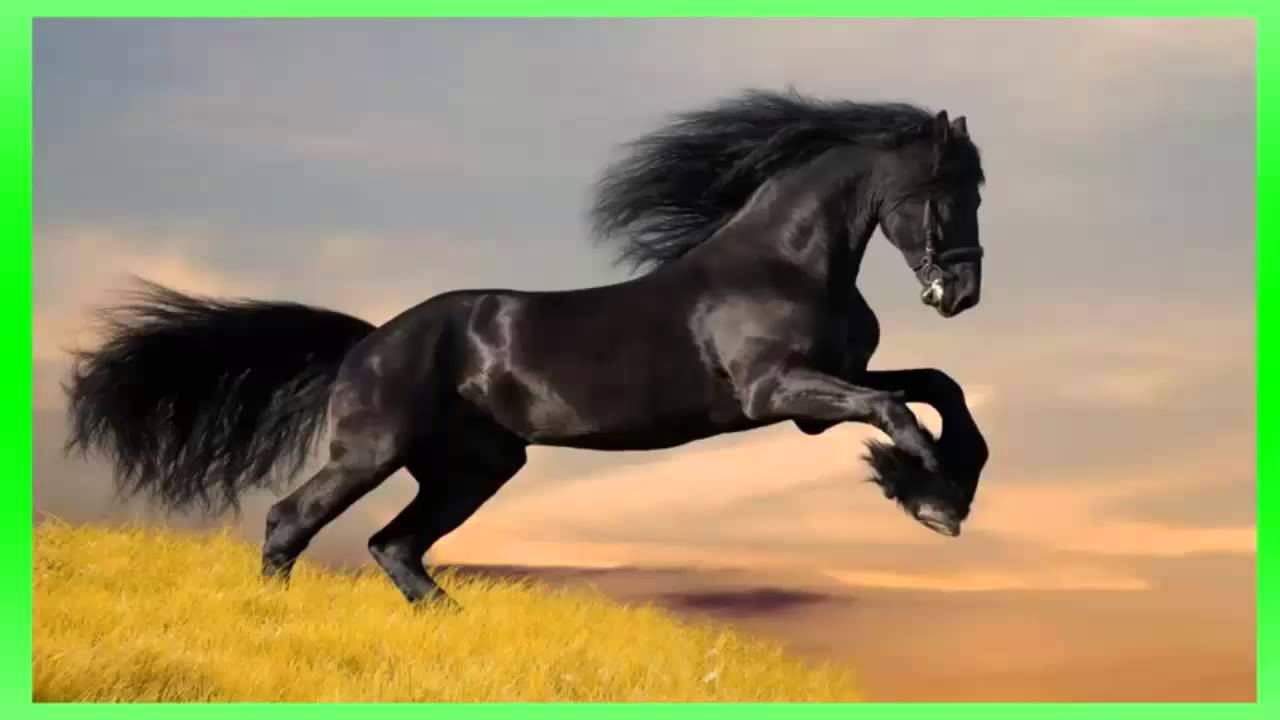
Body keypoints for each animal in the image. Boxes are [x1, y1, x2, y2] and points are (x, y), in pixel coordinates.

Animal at [64, 90, 991, 607]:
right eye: (946, 189)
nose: (962, 293)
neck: (786, 261)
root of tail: (370, 341)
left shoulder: (824, 388)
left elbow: (938, 387)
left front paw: (947, 486)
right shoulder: (779, 393)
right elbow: (897, 408)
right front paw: (929, 497)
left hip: (475, 466)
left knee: (394, 546)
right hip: (375, 450)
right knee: (294, 520)